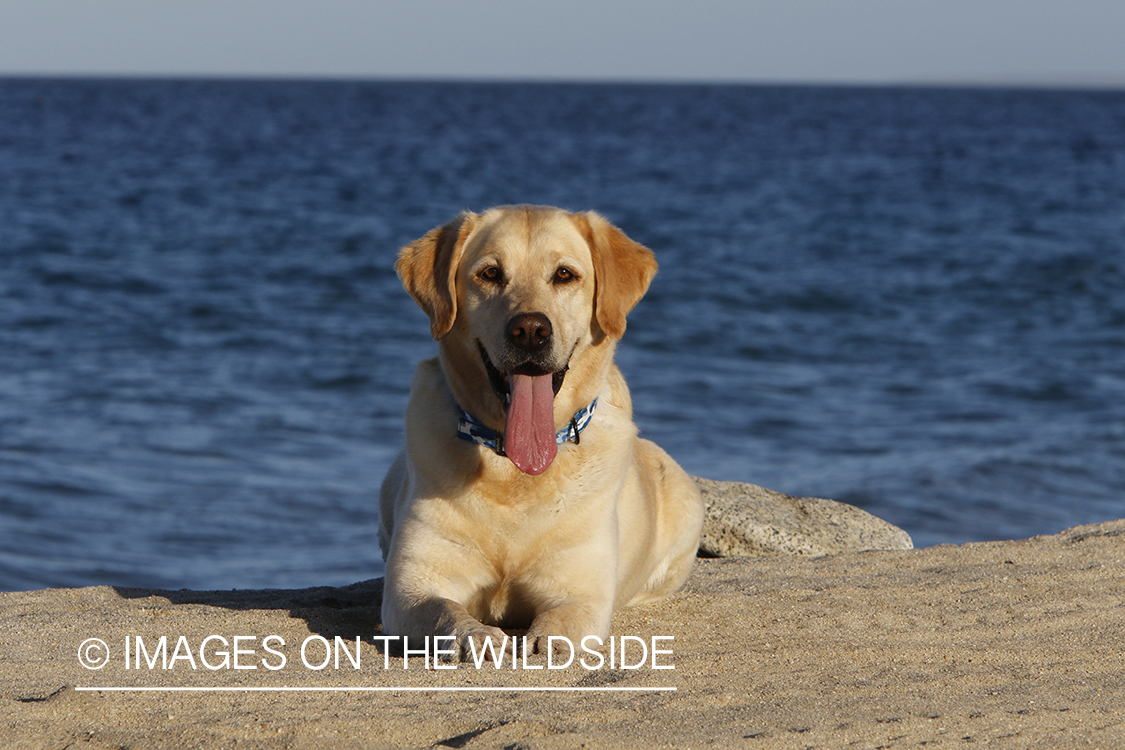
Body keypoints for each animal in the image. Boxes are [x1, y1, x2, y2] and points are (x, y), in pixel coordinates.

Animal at [378, 203, 702, 656]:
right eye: (490, 273)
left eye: (564, 274)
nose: (530, 330)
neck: (513, 470)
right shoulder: (413, 586)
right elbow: (445, 611)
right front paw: (476, 635)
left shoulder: (580, 591)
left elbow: (559, 625)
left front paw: (542, 642)